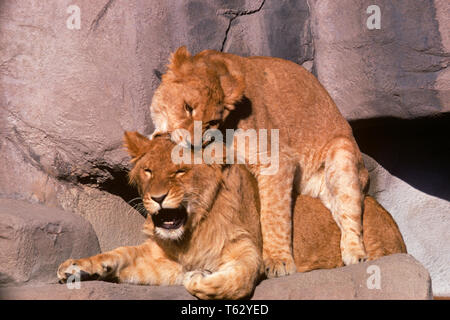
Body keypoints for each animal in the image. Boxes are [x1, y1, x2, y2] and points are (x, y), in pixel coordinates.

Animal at [57, 131, 408, 298]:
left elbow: (238, 277)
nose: (157, 198)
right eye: (148, 171)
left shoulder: (247, 249)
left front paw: (203, 282)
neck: (192, 231)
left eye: (180, 171)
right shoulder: (162, 259)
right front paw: (78, 267)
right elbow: (120, 254)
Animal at [149, 46, 370, 276]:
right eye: (188, 107)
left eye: (212, 122)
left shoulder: (278, 159)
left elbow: (273, 214)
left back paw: (356, 254)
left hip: (342, 152)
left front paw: (278, 261)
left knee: (349, 215)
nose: (193, 144)